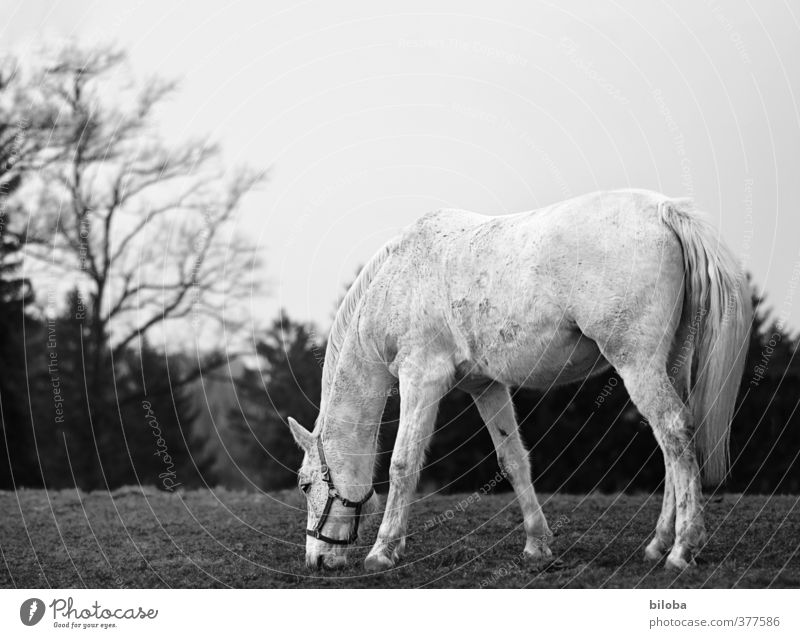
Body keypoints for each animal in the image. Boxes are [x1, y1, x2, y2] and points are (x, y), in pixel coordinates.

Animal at [288, 191, 752, 576]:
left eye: (306, 484)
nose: (316, 560)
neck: (400, 278)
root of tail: (665, 209)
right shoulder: (486, 387)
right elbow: (513, 461)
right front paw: (537, 544)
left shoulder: (421, 379)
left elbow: (403, 464)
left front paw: (383, 551)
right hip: (670, 364)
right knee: (675, 444)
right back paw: (659, 544)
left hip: (638, 364)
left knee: (674, 432)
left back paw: (682, 549)